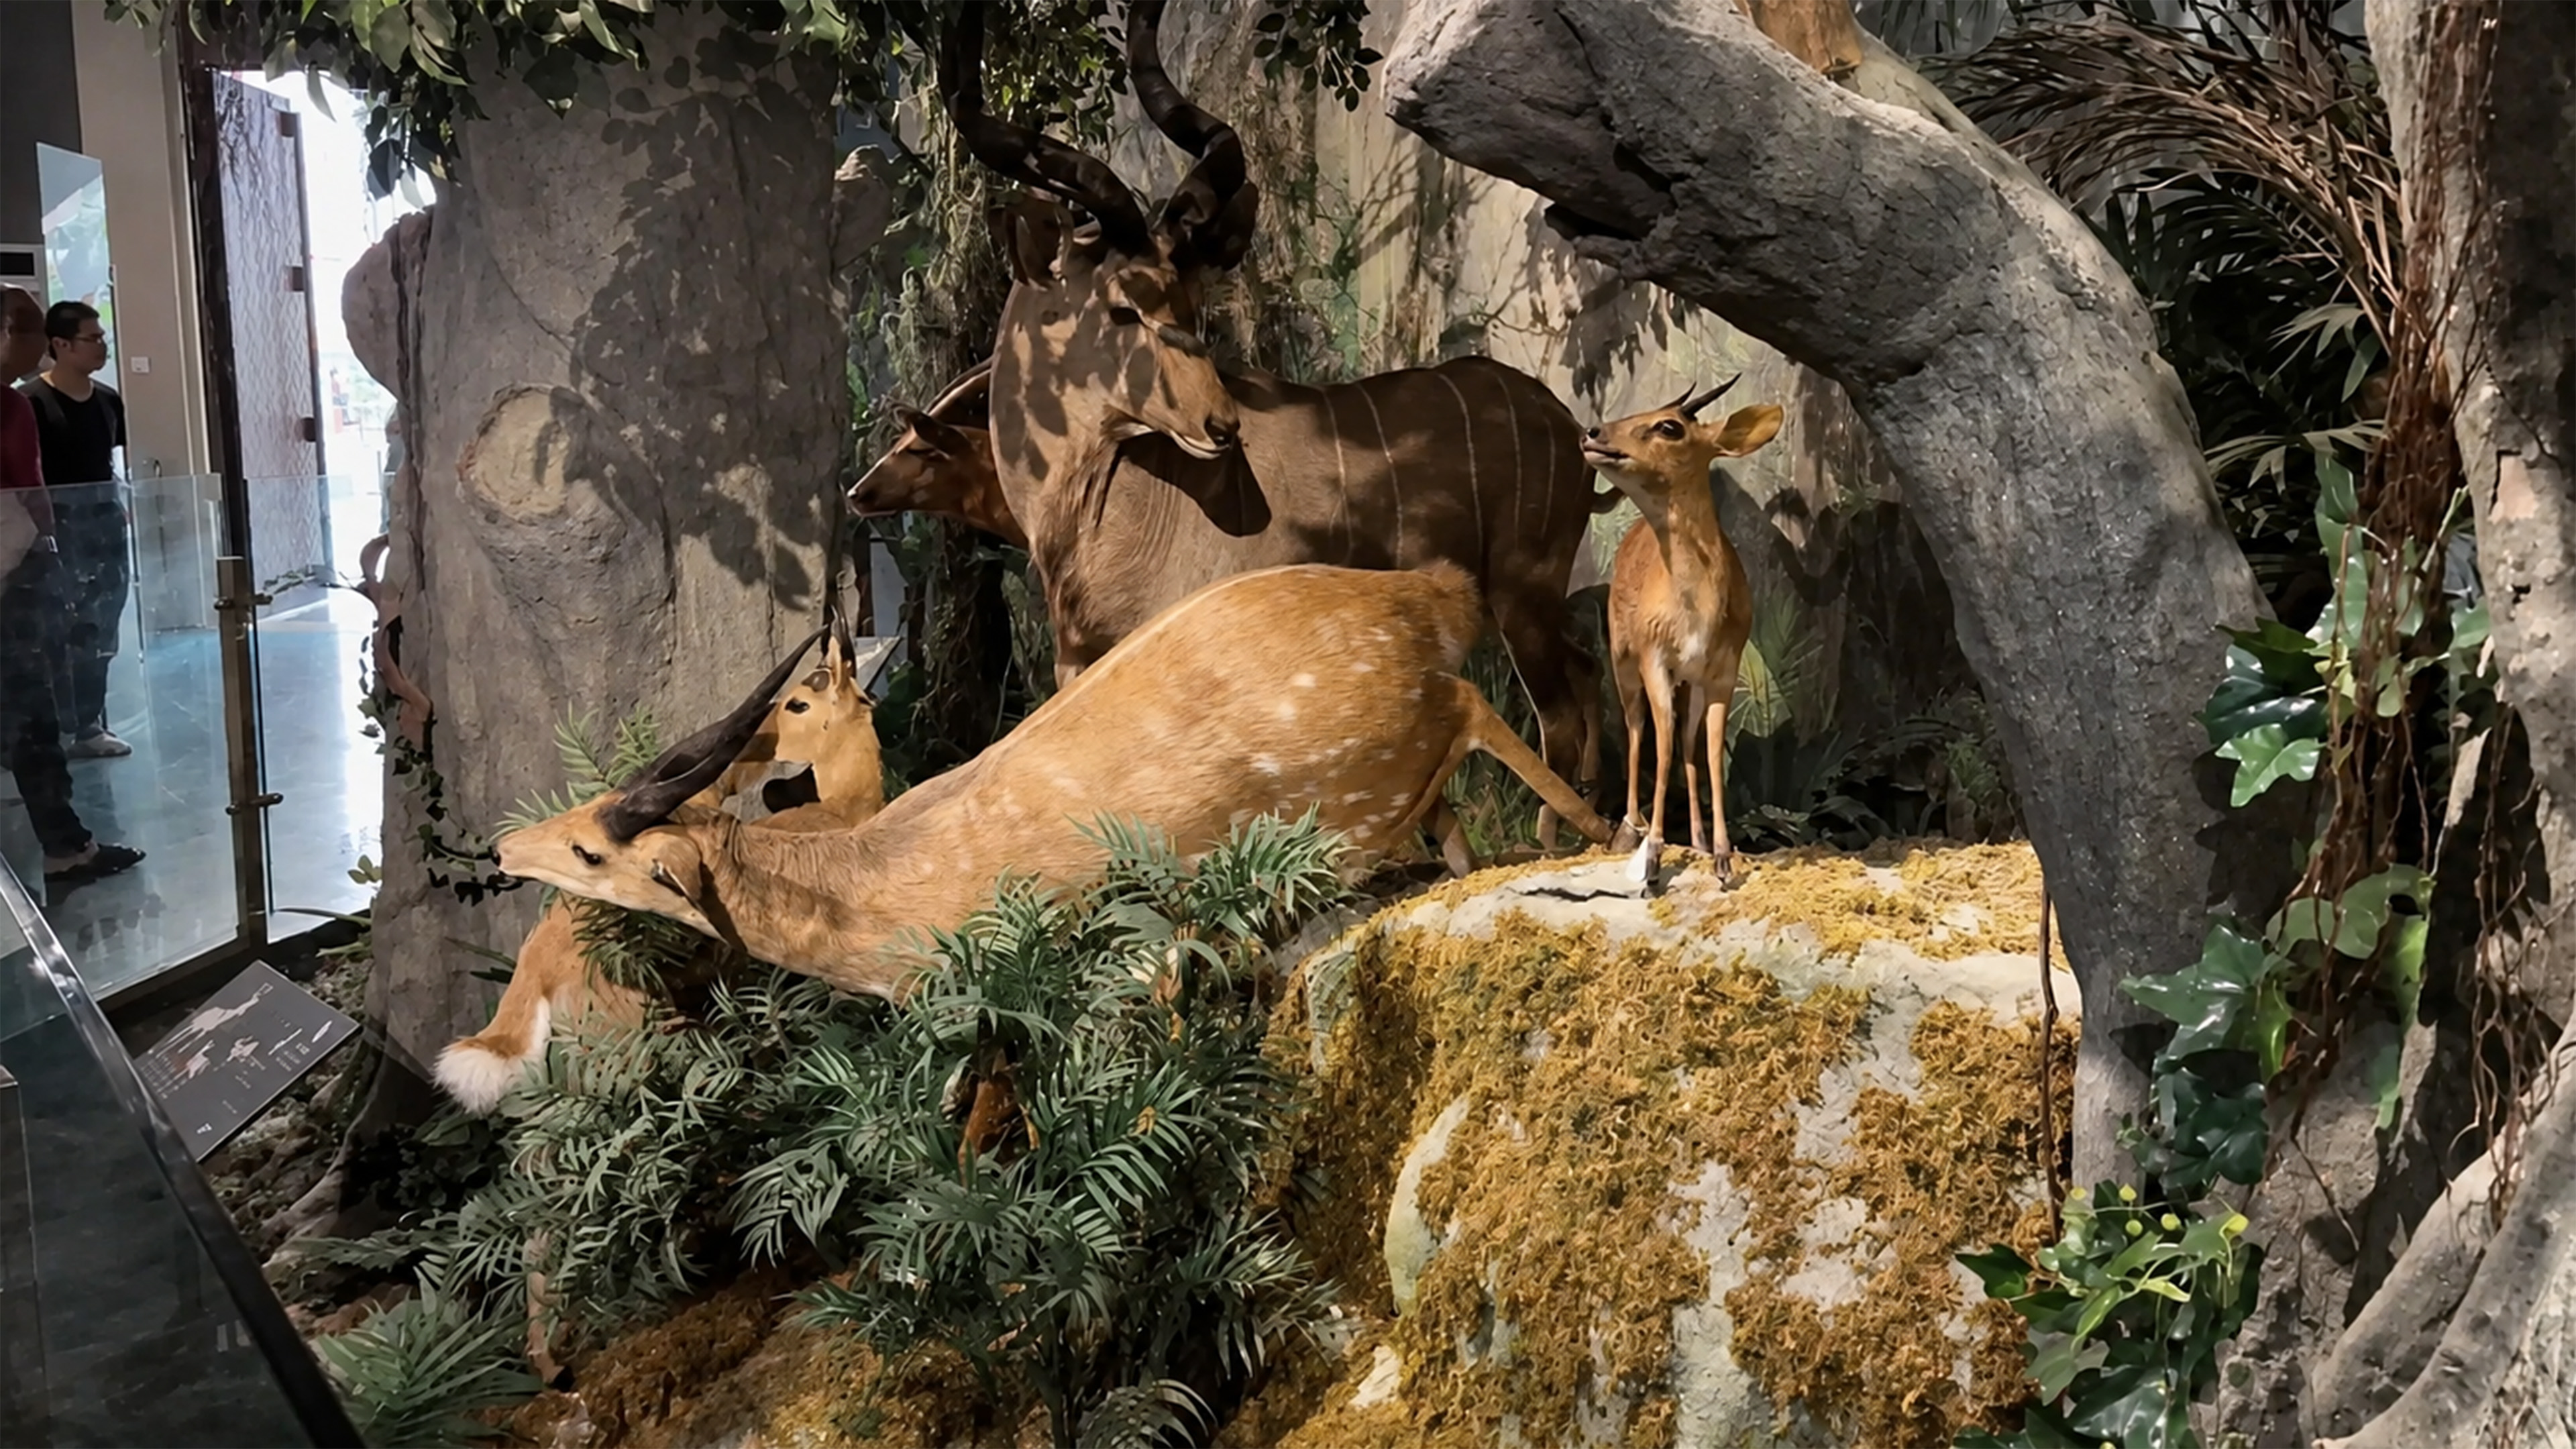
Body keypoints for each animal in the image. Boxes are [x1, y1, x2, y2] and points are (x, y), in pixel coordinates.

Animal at [493, 561, 1616, 1000]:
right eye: (584, 809)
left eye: (591, 848)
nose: (503, 847)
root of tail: (1419, 597)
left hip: (1374, 760)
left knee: (1478, 714)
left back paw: (1598, 829)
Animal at [941, 0, 1608, 844]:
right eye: (1124, 306)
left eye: (1191, 301)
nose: (1220, 424)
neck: (1104, 512)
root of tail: (1565, 425)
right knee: (1585, 673)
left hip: (1524, 596)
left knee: (1559, 714)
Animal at [1586, 379, 1785, 884]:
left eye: (1669, 426)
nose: (1593, 432)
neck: (1697, 613)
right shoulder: (1655, 660)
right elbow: (1661, 746)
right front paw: (1653, 855)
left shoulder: (1721, 671)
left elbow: (1710, 751)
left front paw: (1722, 855)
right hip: (1623, 663)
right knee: (1637, 731)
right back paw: (1628, 830)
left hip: (1686, 682)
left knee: (1687, 744)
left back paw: (1694, 839)